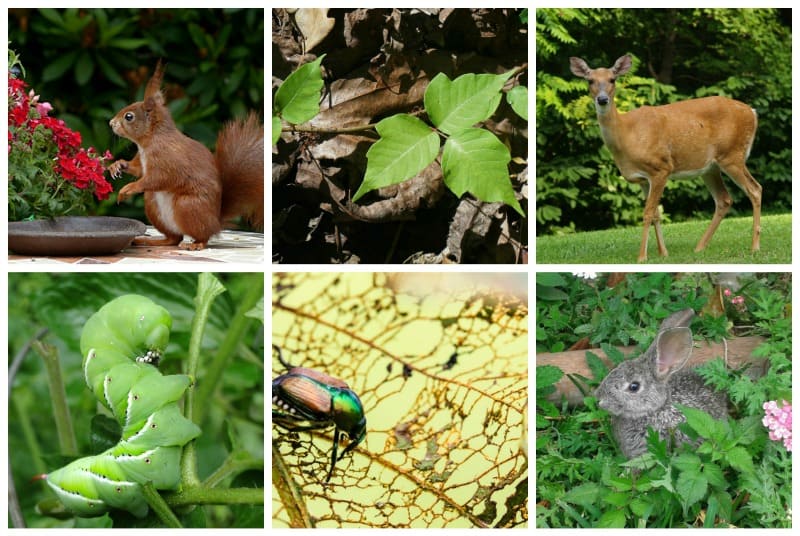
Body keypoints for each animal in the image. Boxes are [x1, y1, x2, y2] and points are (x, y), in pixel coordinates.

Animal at [106, 61, 260, 251]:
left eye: (129, 117)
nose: (111, 123)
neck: (150, 140)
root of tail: (216, 221)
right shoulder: (143, 162)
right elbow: (138, 169)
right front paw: (118, 165)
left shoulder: (167, 159)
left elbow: (157, 178)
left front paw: (128, 188)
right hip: (152, 204)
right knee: (174, 238)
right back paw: (150, 241)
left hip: (187, 206)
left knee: (203, 235)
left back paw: (196, 244)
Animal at [568, 55, 764, 262]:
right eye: (590, 81)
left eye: (612, 79)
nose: (603, 99)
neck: (626, 134)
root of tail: (752, 112)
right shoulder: (643, 179)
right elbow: (656, 214)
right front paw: (663, 253)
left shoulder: (661, 168)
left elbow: (648, 213)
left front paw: (642, 257)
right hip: (710, 167)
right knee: (724, 200)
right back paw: (699, 247)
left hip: (732, 155)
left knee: (754, 189)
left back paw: (754, 247)